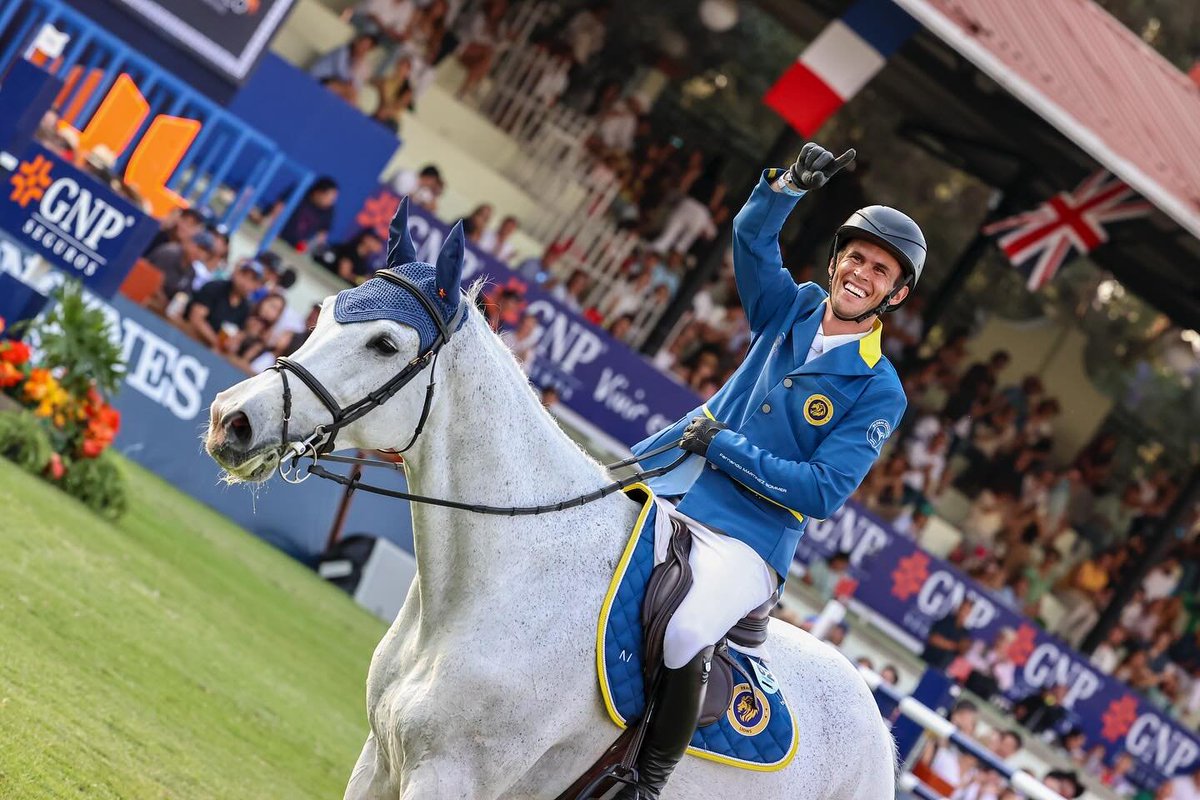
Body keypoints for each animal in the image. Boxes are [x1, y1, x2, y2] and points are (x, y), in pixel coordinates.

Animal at [206, 224, 897, 800]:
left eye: (383, 343)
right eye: (326, 309)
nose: (231, 419)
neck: (501, 580)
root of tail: (879, 728)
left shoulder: (450, 778)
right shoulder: (378, 761)